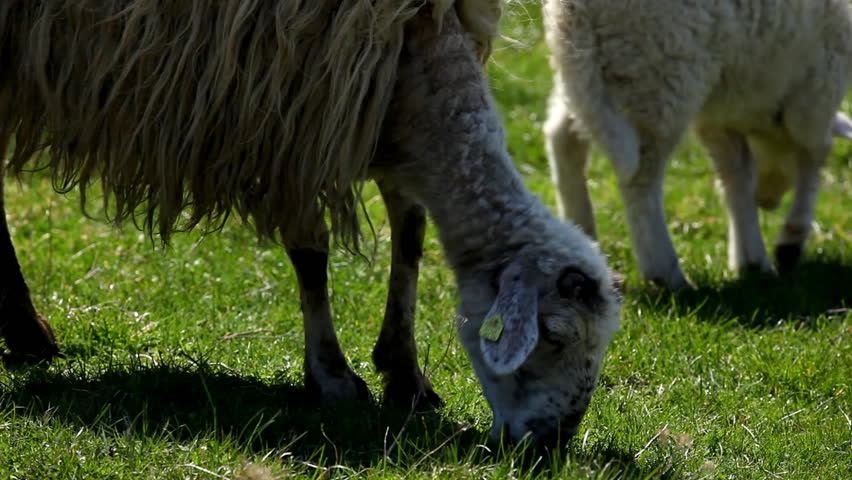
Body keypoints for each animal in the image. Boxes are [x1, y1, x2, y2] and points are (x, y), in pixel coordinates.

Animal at [0, 0, 622, 444]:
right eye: (555, 335)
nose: (553, 443)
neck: (417, 48)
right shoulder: (292, 107)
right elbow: (310, 250)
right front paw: (331, 376)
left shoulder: (376, 100)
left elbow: (411, 229)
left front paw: (404, 372)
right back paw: (28, 332)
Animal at [543, 0, 852, 289]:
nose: (768, 202)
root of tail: (573, 10)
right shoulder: (816, 94)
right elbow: (814, 155)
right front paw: (790, 240)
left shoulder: (720, 111)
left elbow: (737, 177)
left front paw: (750, 259)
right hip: (661, 72)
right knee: (641, 179)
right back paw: (666, 272)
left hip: (589, 71)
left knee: (562, 136)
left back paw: (582, 234)